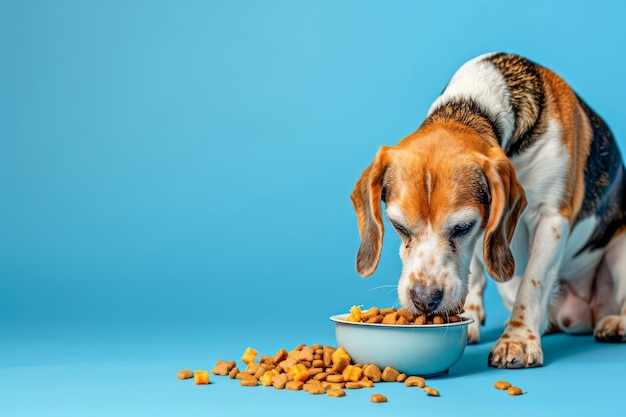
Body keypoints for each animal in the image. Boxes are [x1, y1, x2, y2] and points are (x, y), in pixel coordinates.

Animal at [352, 52, 624, 368]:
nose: (424, 300)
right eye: (398, 226)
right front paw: (467, 316)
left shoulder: (552, 217)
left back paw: (615, 323)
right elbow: (475, 273)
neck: (473, 107)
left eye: (462, 227)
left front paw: (517, 340)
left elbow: (533, 283)